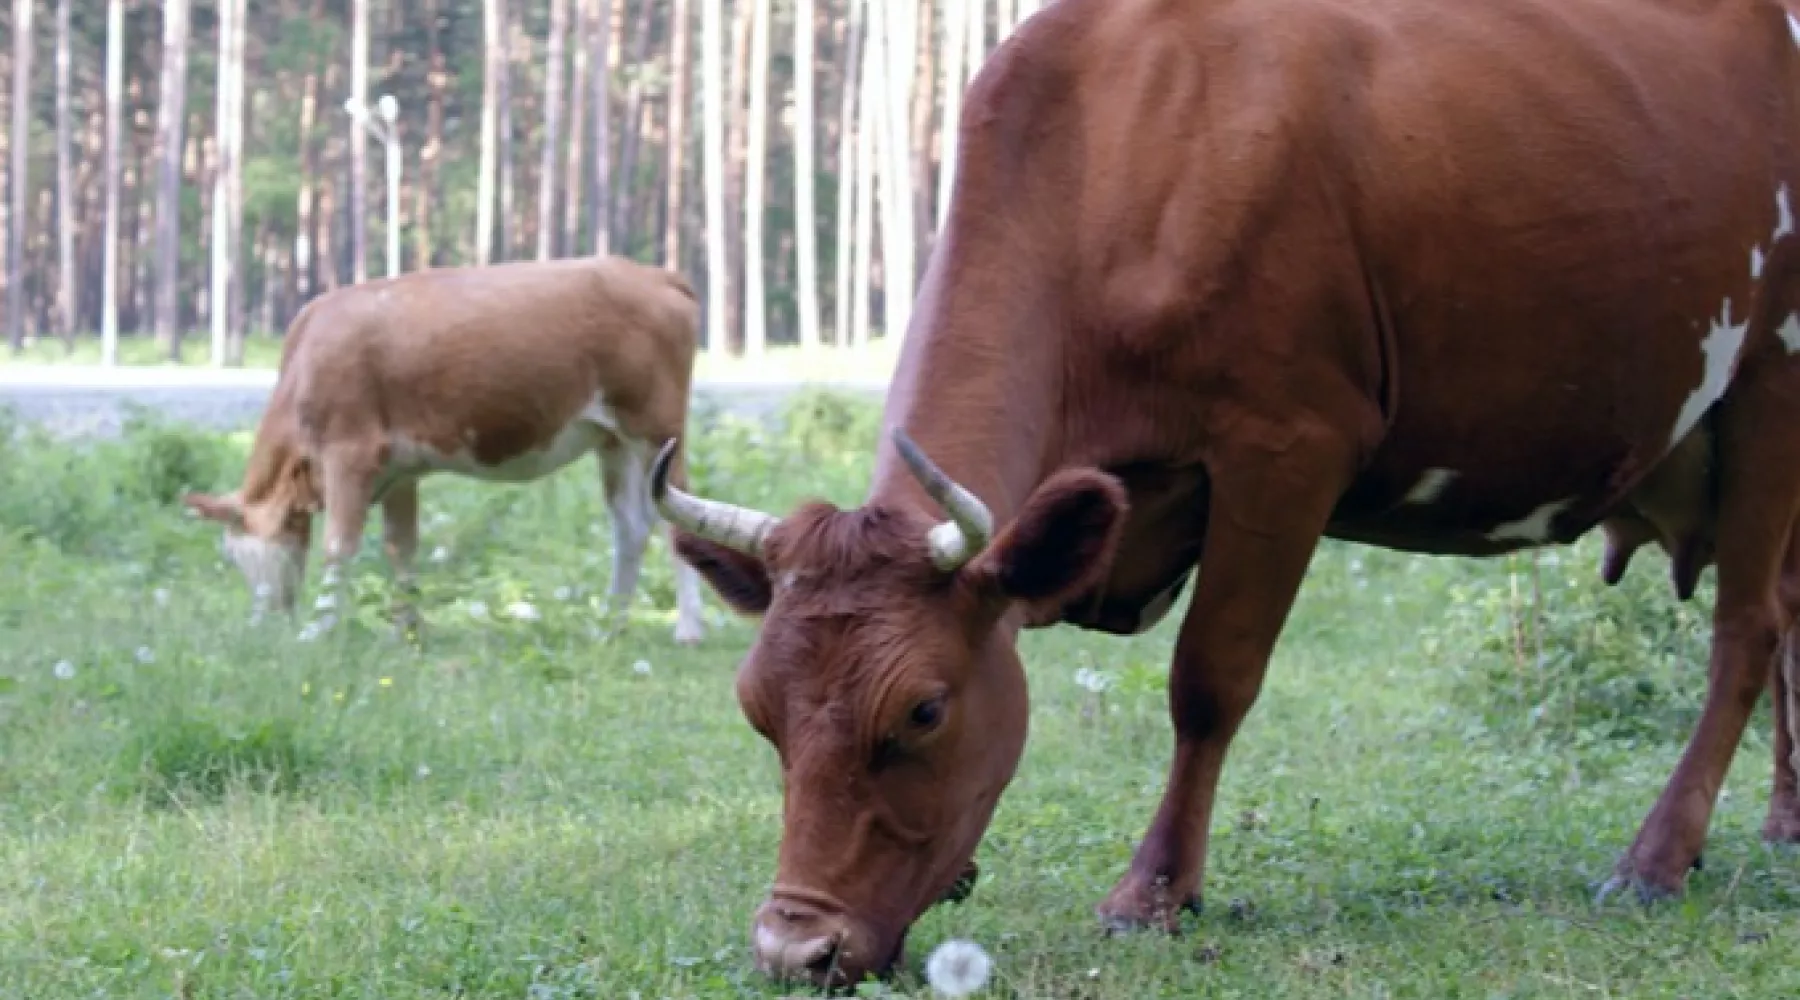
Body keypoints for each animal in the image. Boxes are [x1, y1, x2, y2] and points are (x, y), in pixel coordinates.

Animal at [186, 255, 705, 647]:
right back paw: (611, 624)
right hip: (612, 438)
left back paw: (687, 629)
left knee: (677, 518)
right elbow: (401, 546)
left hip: (657, 428)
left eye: (236, 554)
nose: (262, 624)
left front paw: (318, 629)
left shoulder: (349, 451)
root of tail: (652, 274)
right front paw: (407, 628)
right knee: (631, 525)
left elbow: (339, 544)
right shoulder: (399, 470)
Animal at [655, 0, 1800, 985]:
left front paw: (1154, 891)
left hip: (1770, 380)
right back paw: (1783, 823)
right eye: (758, 710)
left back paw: (1655, 857)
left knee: (1747, 629)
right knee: (1788, 620)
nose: (793, 948)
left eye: (925, 710)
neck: (1115, 149)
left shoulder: (1286, 443)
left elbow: (1209, 682)